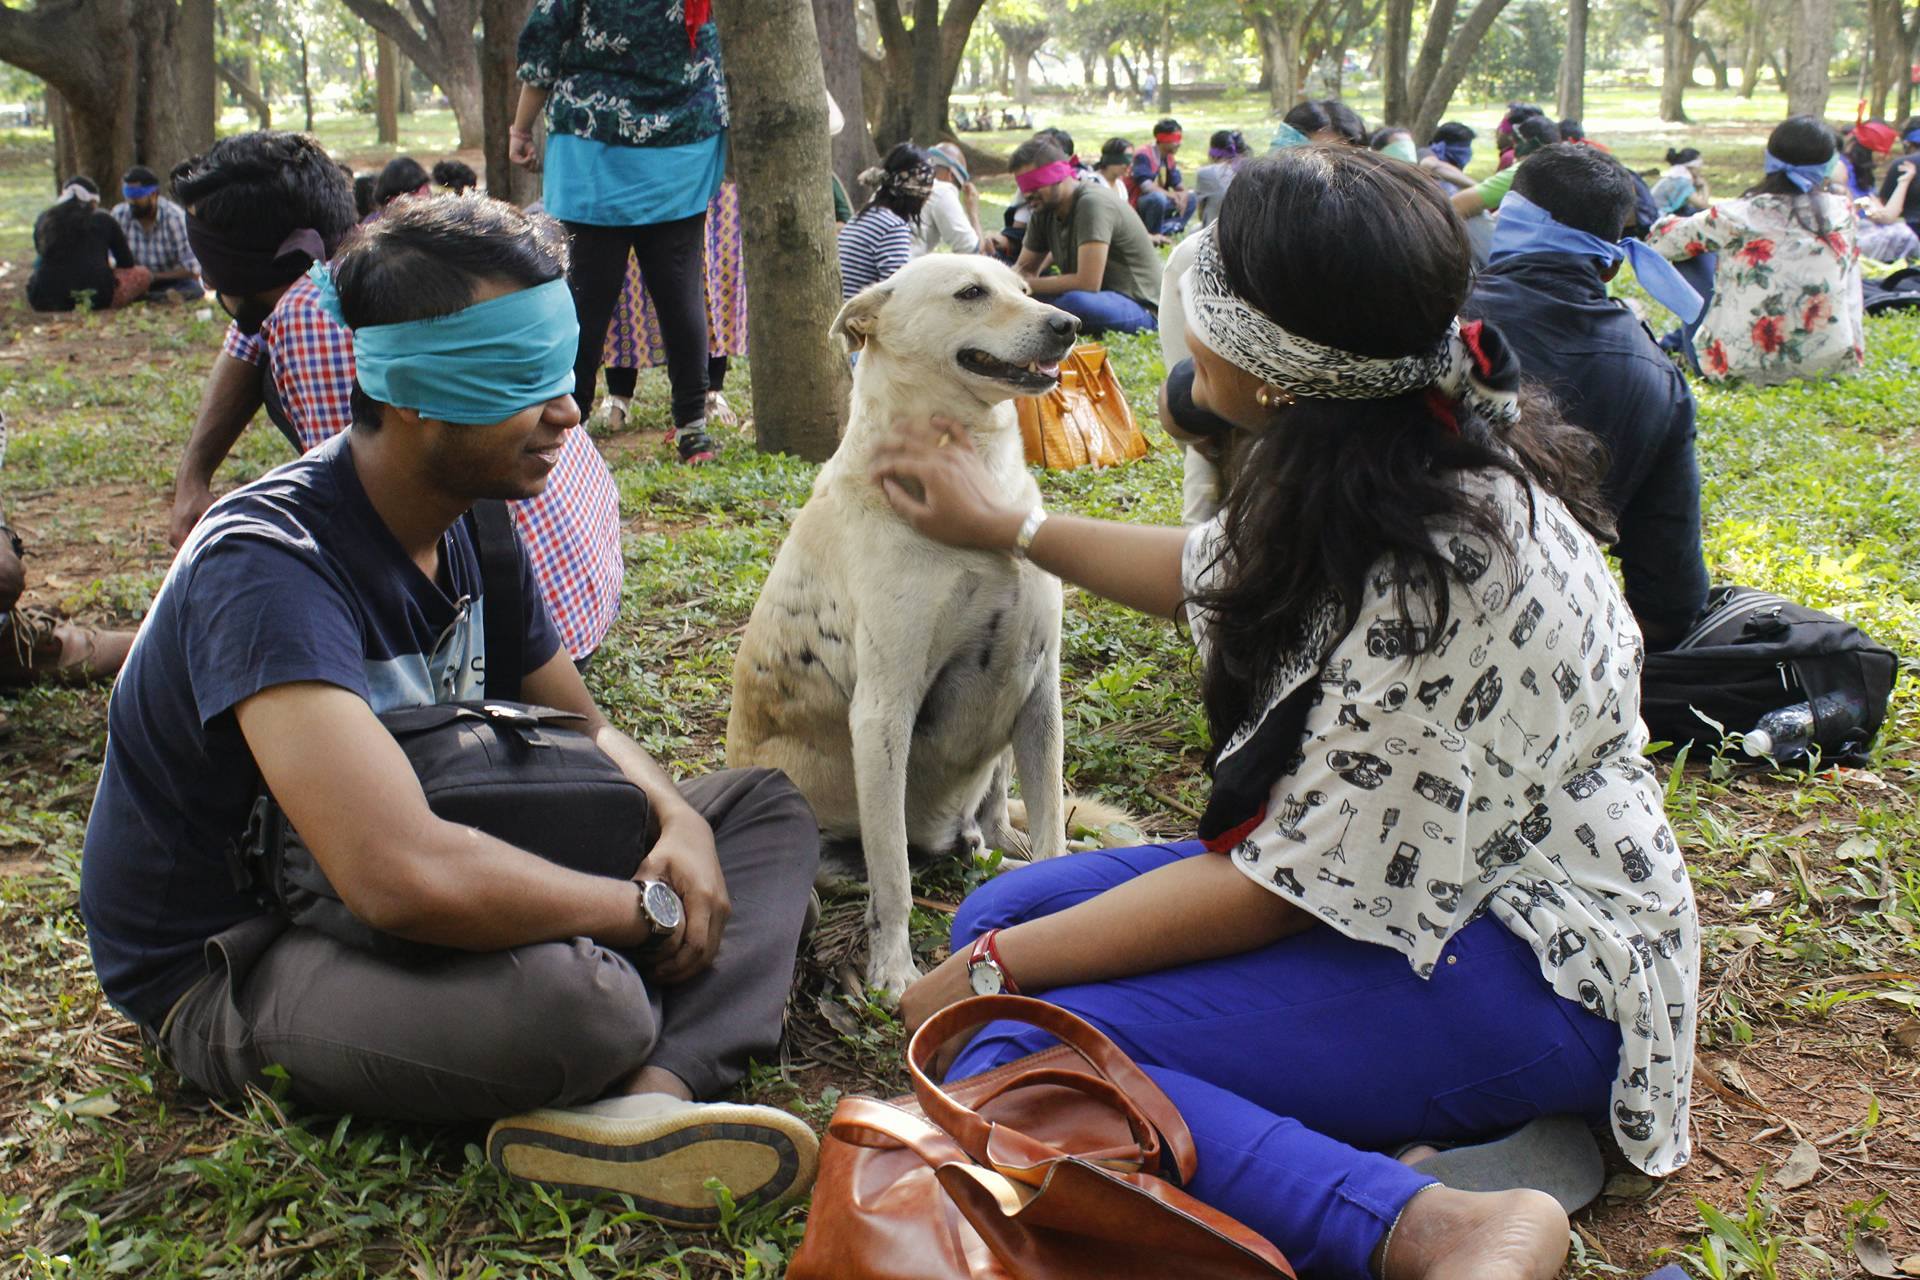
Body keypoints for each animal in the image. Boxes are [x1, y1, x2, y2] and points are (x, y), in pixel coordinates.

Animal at [725, 255, 1082, 997]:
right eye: (971, 293)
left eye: (1024, 289)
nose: (1069, 323)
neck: (974, 479)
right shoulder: (883, 713)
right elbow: (892, 878)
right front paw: (893, 968)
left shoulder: (1040, 692)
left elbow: (1054, 837)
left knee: (991, 830)